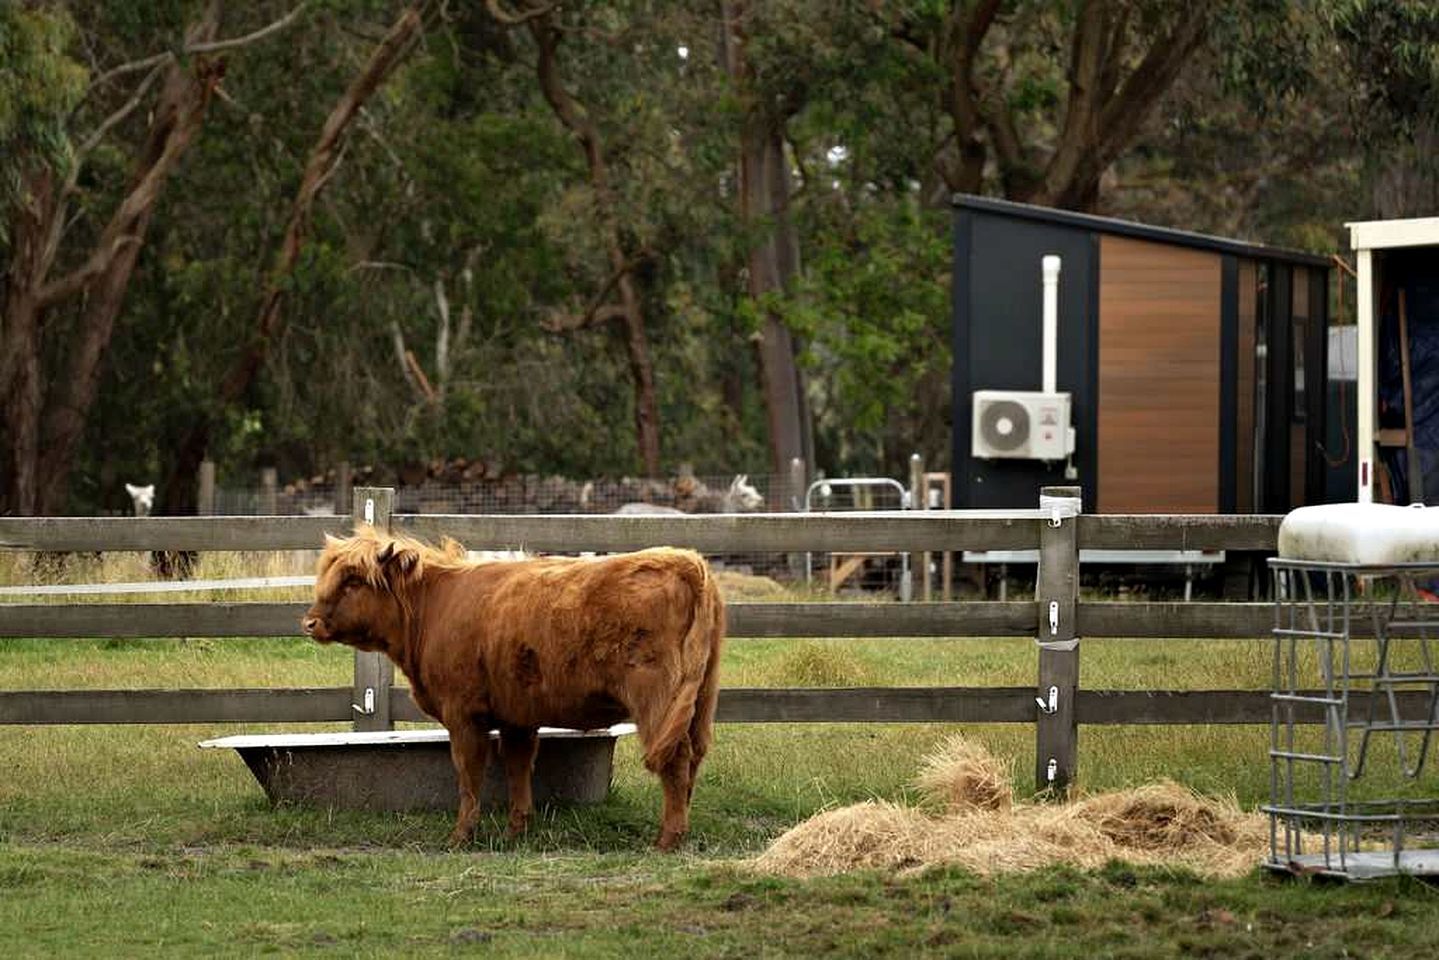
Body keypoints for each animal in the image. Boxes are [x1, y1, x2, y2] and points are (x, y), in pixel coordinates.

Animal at [301, 526, 725, 851]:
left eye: (354, 581)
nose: (310, 622)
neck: (433, 605)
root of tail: (686, 561)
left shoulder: (463, 715)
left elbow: (469, 775)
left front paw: (461, 836)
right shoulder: (517, 715)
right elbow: (518, 769)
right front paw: (515, 831)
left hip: (657, 700)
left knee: (675, 759)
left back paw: (667, 839)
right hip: (698, 701)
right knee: (694, 756)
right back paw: (681, 828)